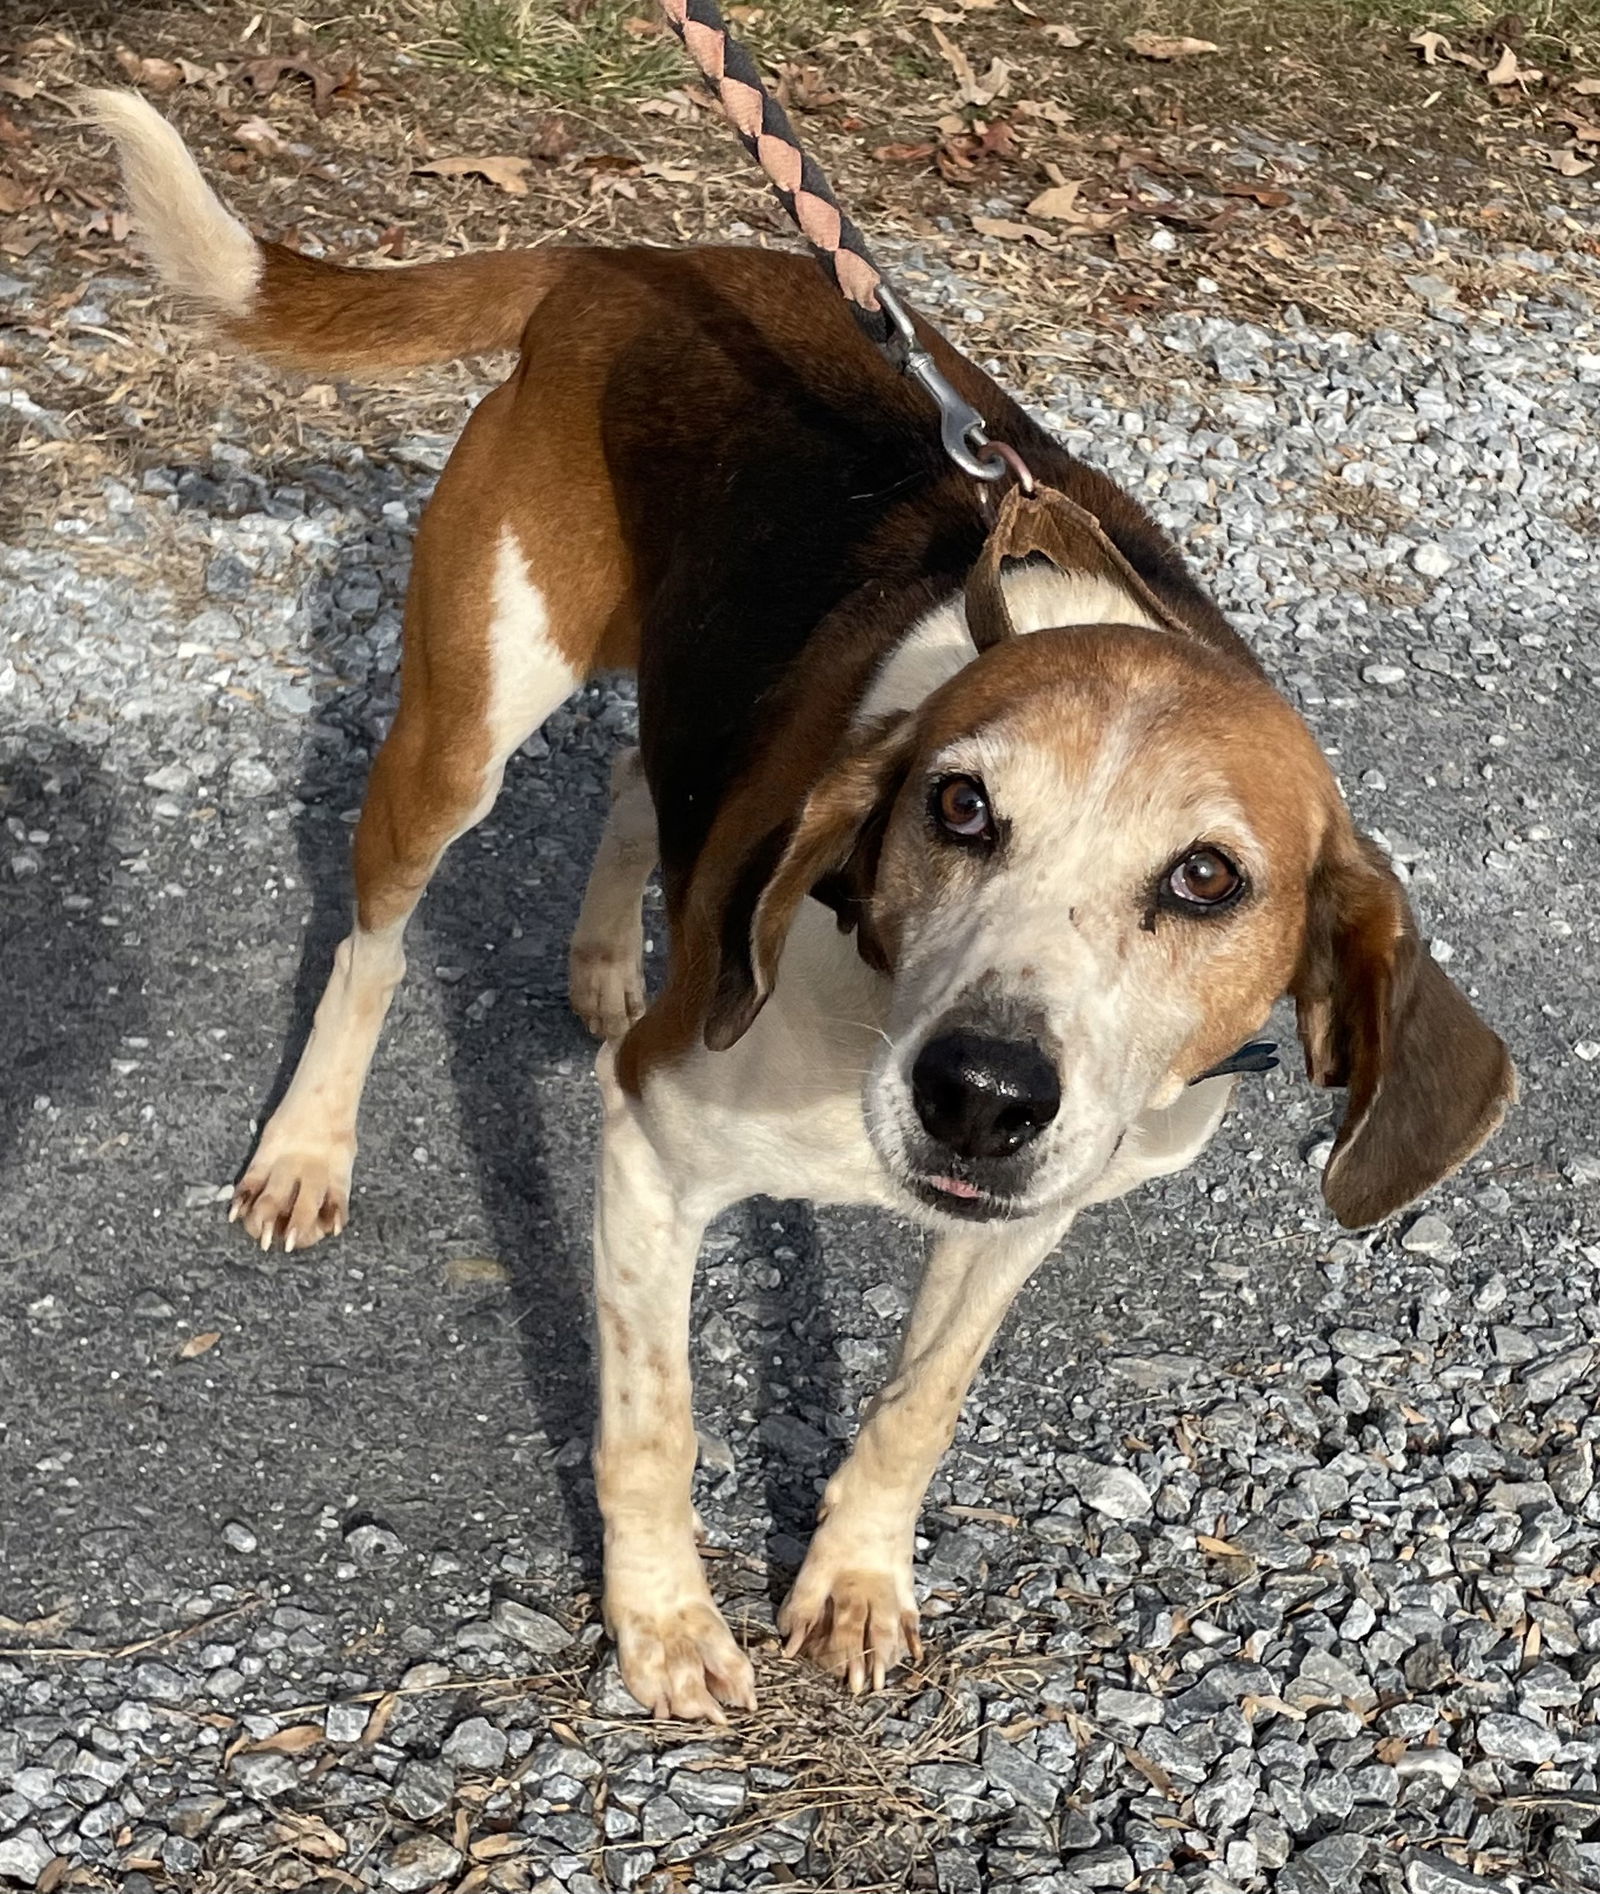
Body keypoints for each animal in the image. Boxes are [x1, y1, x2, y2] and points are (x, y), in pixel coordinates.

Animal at [99, 85, 1507, 1719]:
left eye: (1207, 878)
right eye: (958, 805)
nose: (981, 1094)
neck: (872, 996)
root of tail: (633, 263)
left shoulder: (1022, 1220)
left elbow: (916, 1404)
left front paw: (853, 1581)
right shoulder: (653, 1151)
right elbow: (654, 1424)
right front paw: (663, 1626)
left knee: (642, 786)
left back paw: (605, 962)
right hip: (462, 724)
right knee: (376, 943)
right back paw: (308, 1145)